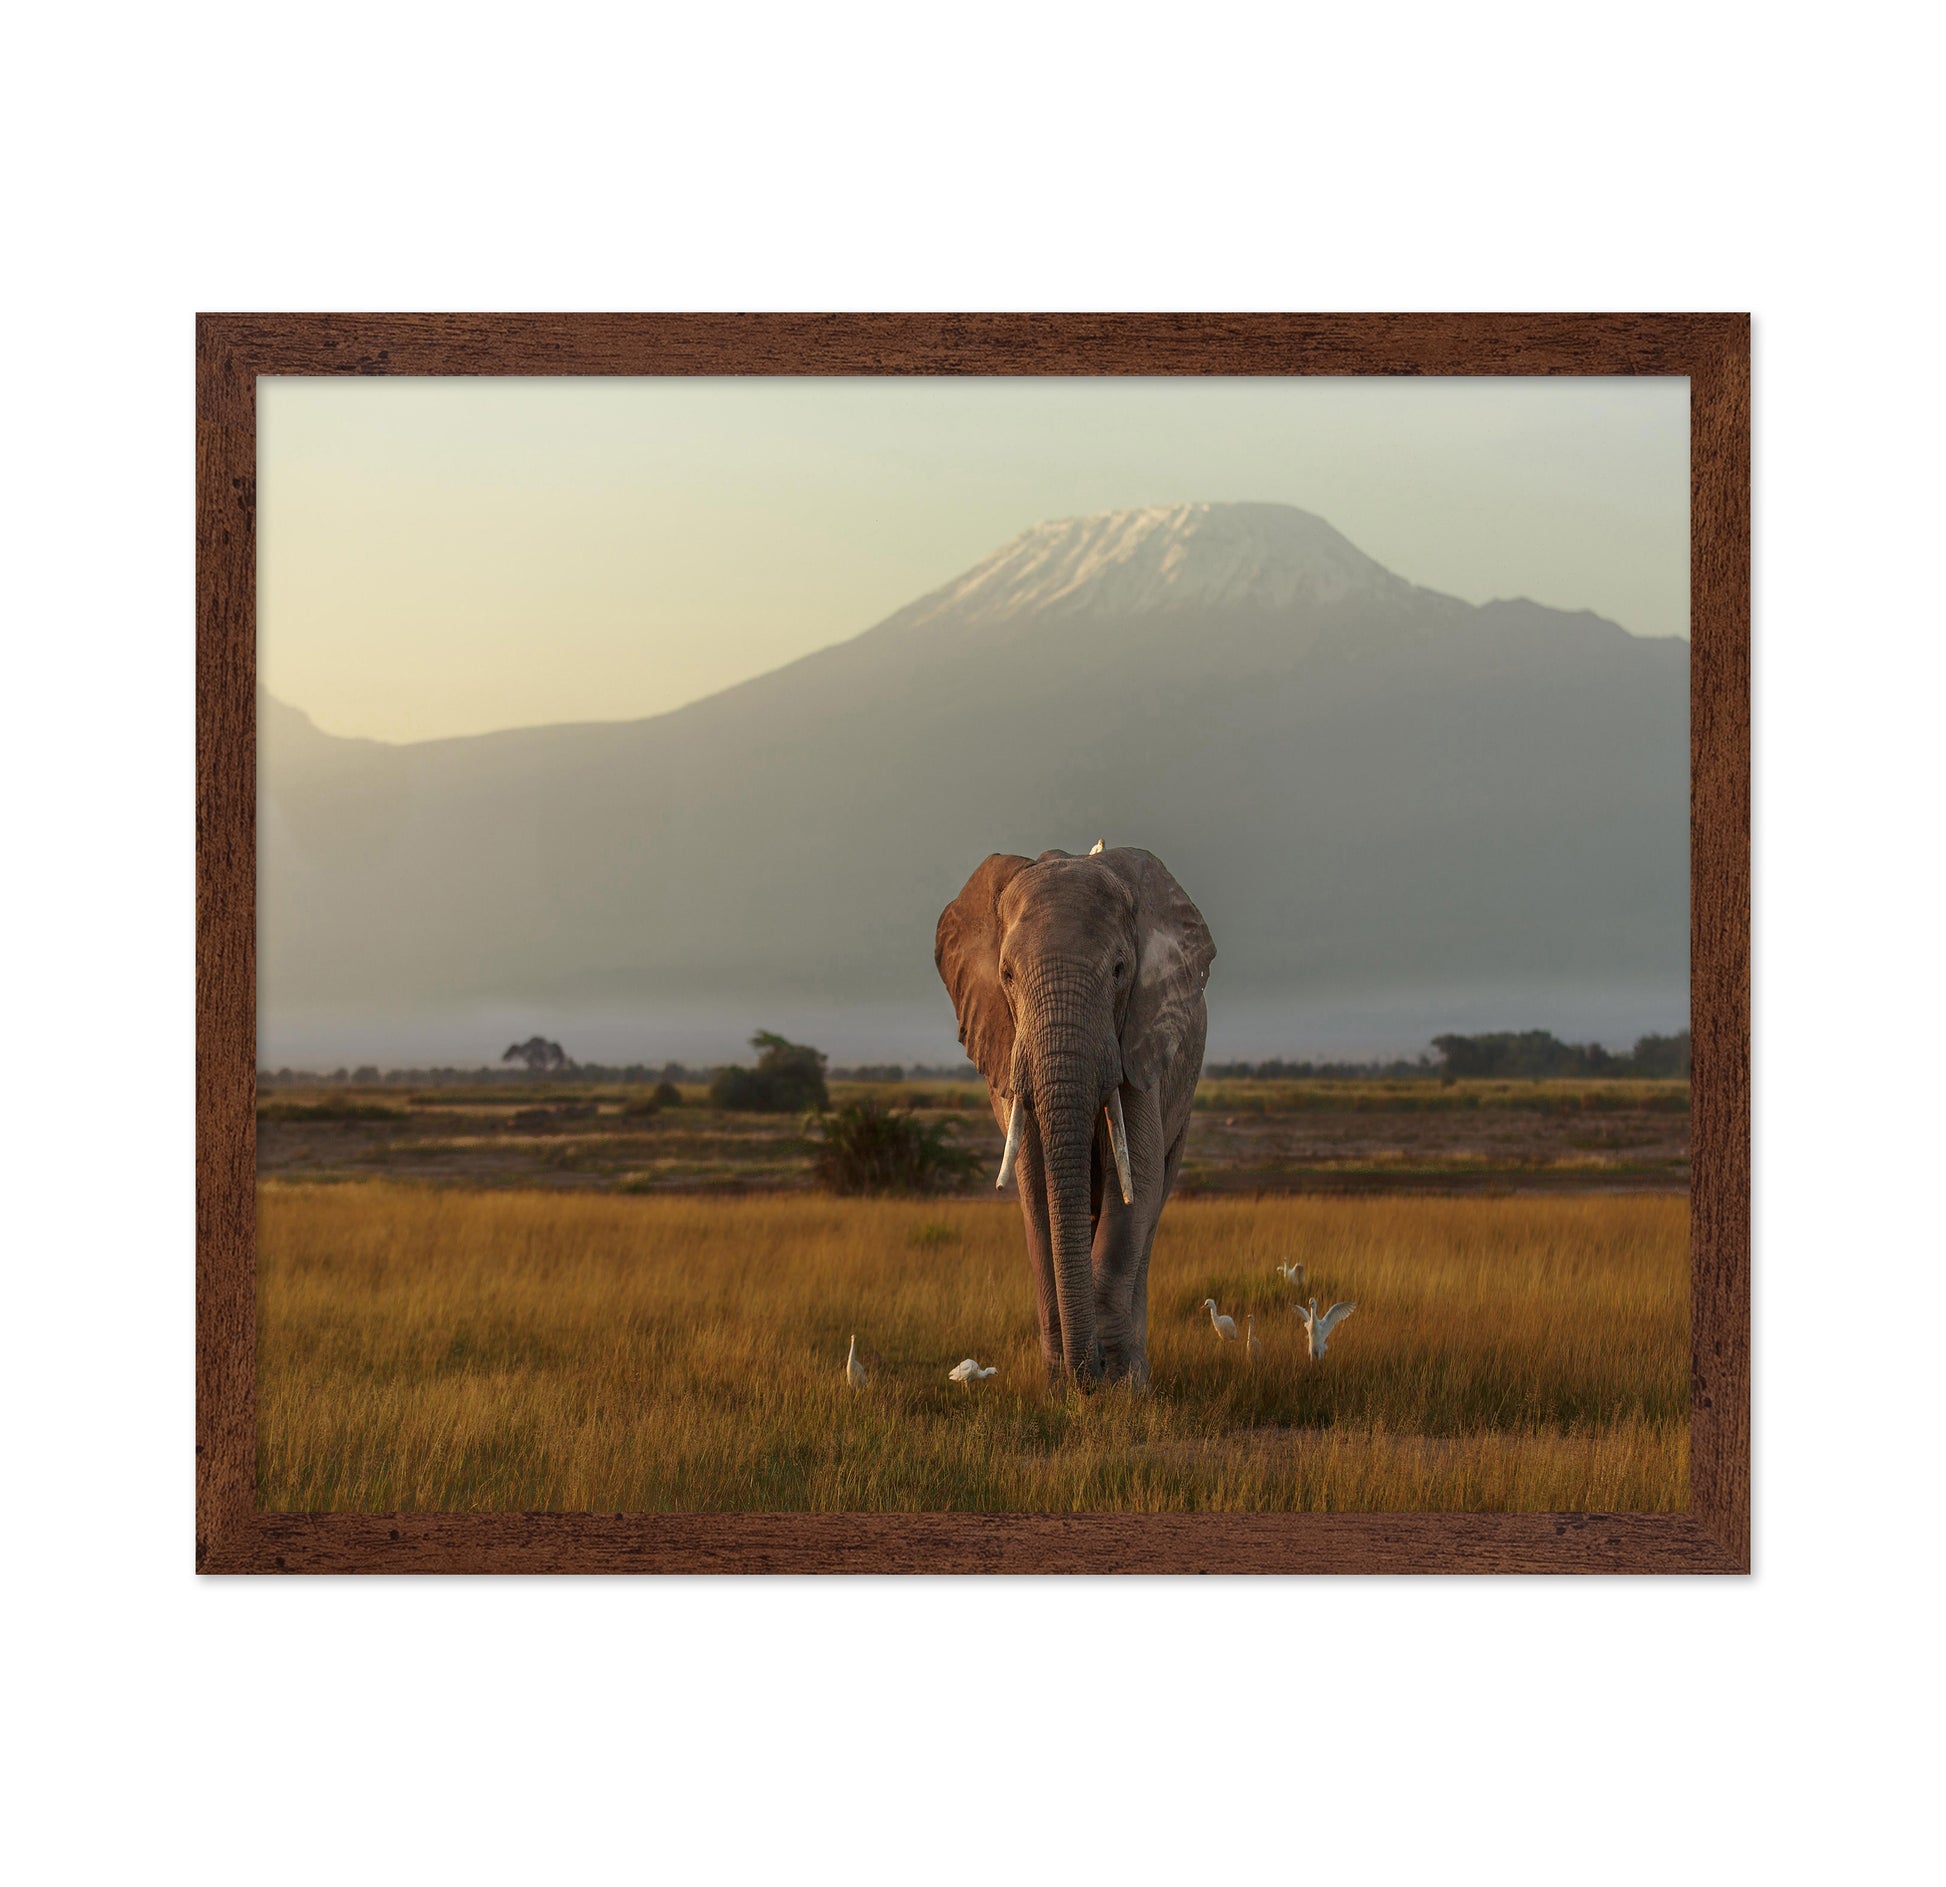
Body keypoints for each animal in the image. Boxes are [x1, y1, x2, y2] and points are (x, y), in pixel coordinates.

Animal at [935, 845, 1215, 1389]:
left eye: (1119, 970)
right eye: (1007, 976)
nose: (1091, 1376)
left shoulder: (1139, 1040)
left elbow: (1136, 1184)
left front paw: (1121, 1389)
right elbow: (1037, 1188)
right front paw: (1061, 1387)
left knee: (1153, 1206)